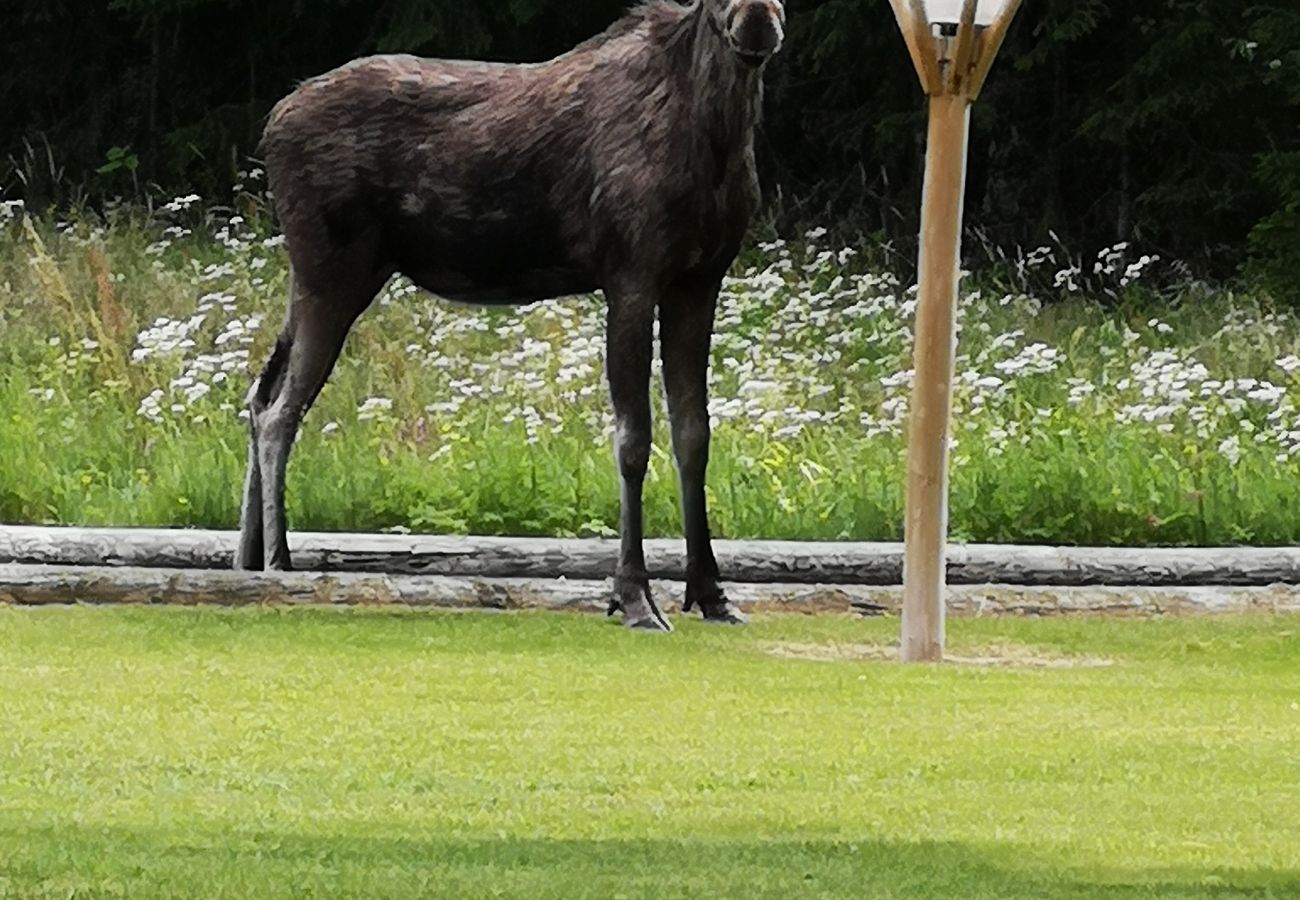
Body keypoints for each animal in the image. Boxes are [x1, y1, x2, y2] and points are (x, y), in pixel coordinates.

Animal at [235, 1, 785, 632]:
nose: (757, 20)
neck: (717, 140)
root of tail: (272, 123)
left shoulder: (699, 281)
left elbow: (695, 435)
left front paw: (712, 593)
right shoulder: (631, 274)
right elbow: (633, 438)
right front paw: (632, 596)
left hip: (325, 276)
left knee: (259, 393)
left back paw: (247, 558)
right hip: (332, 271)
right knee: (280, 410)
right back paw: (279, 562)